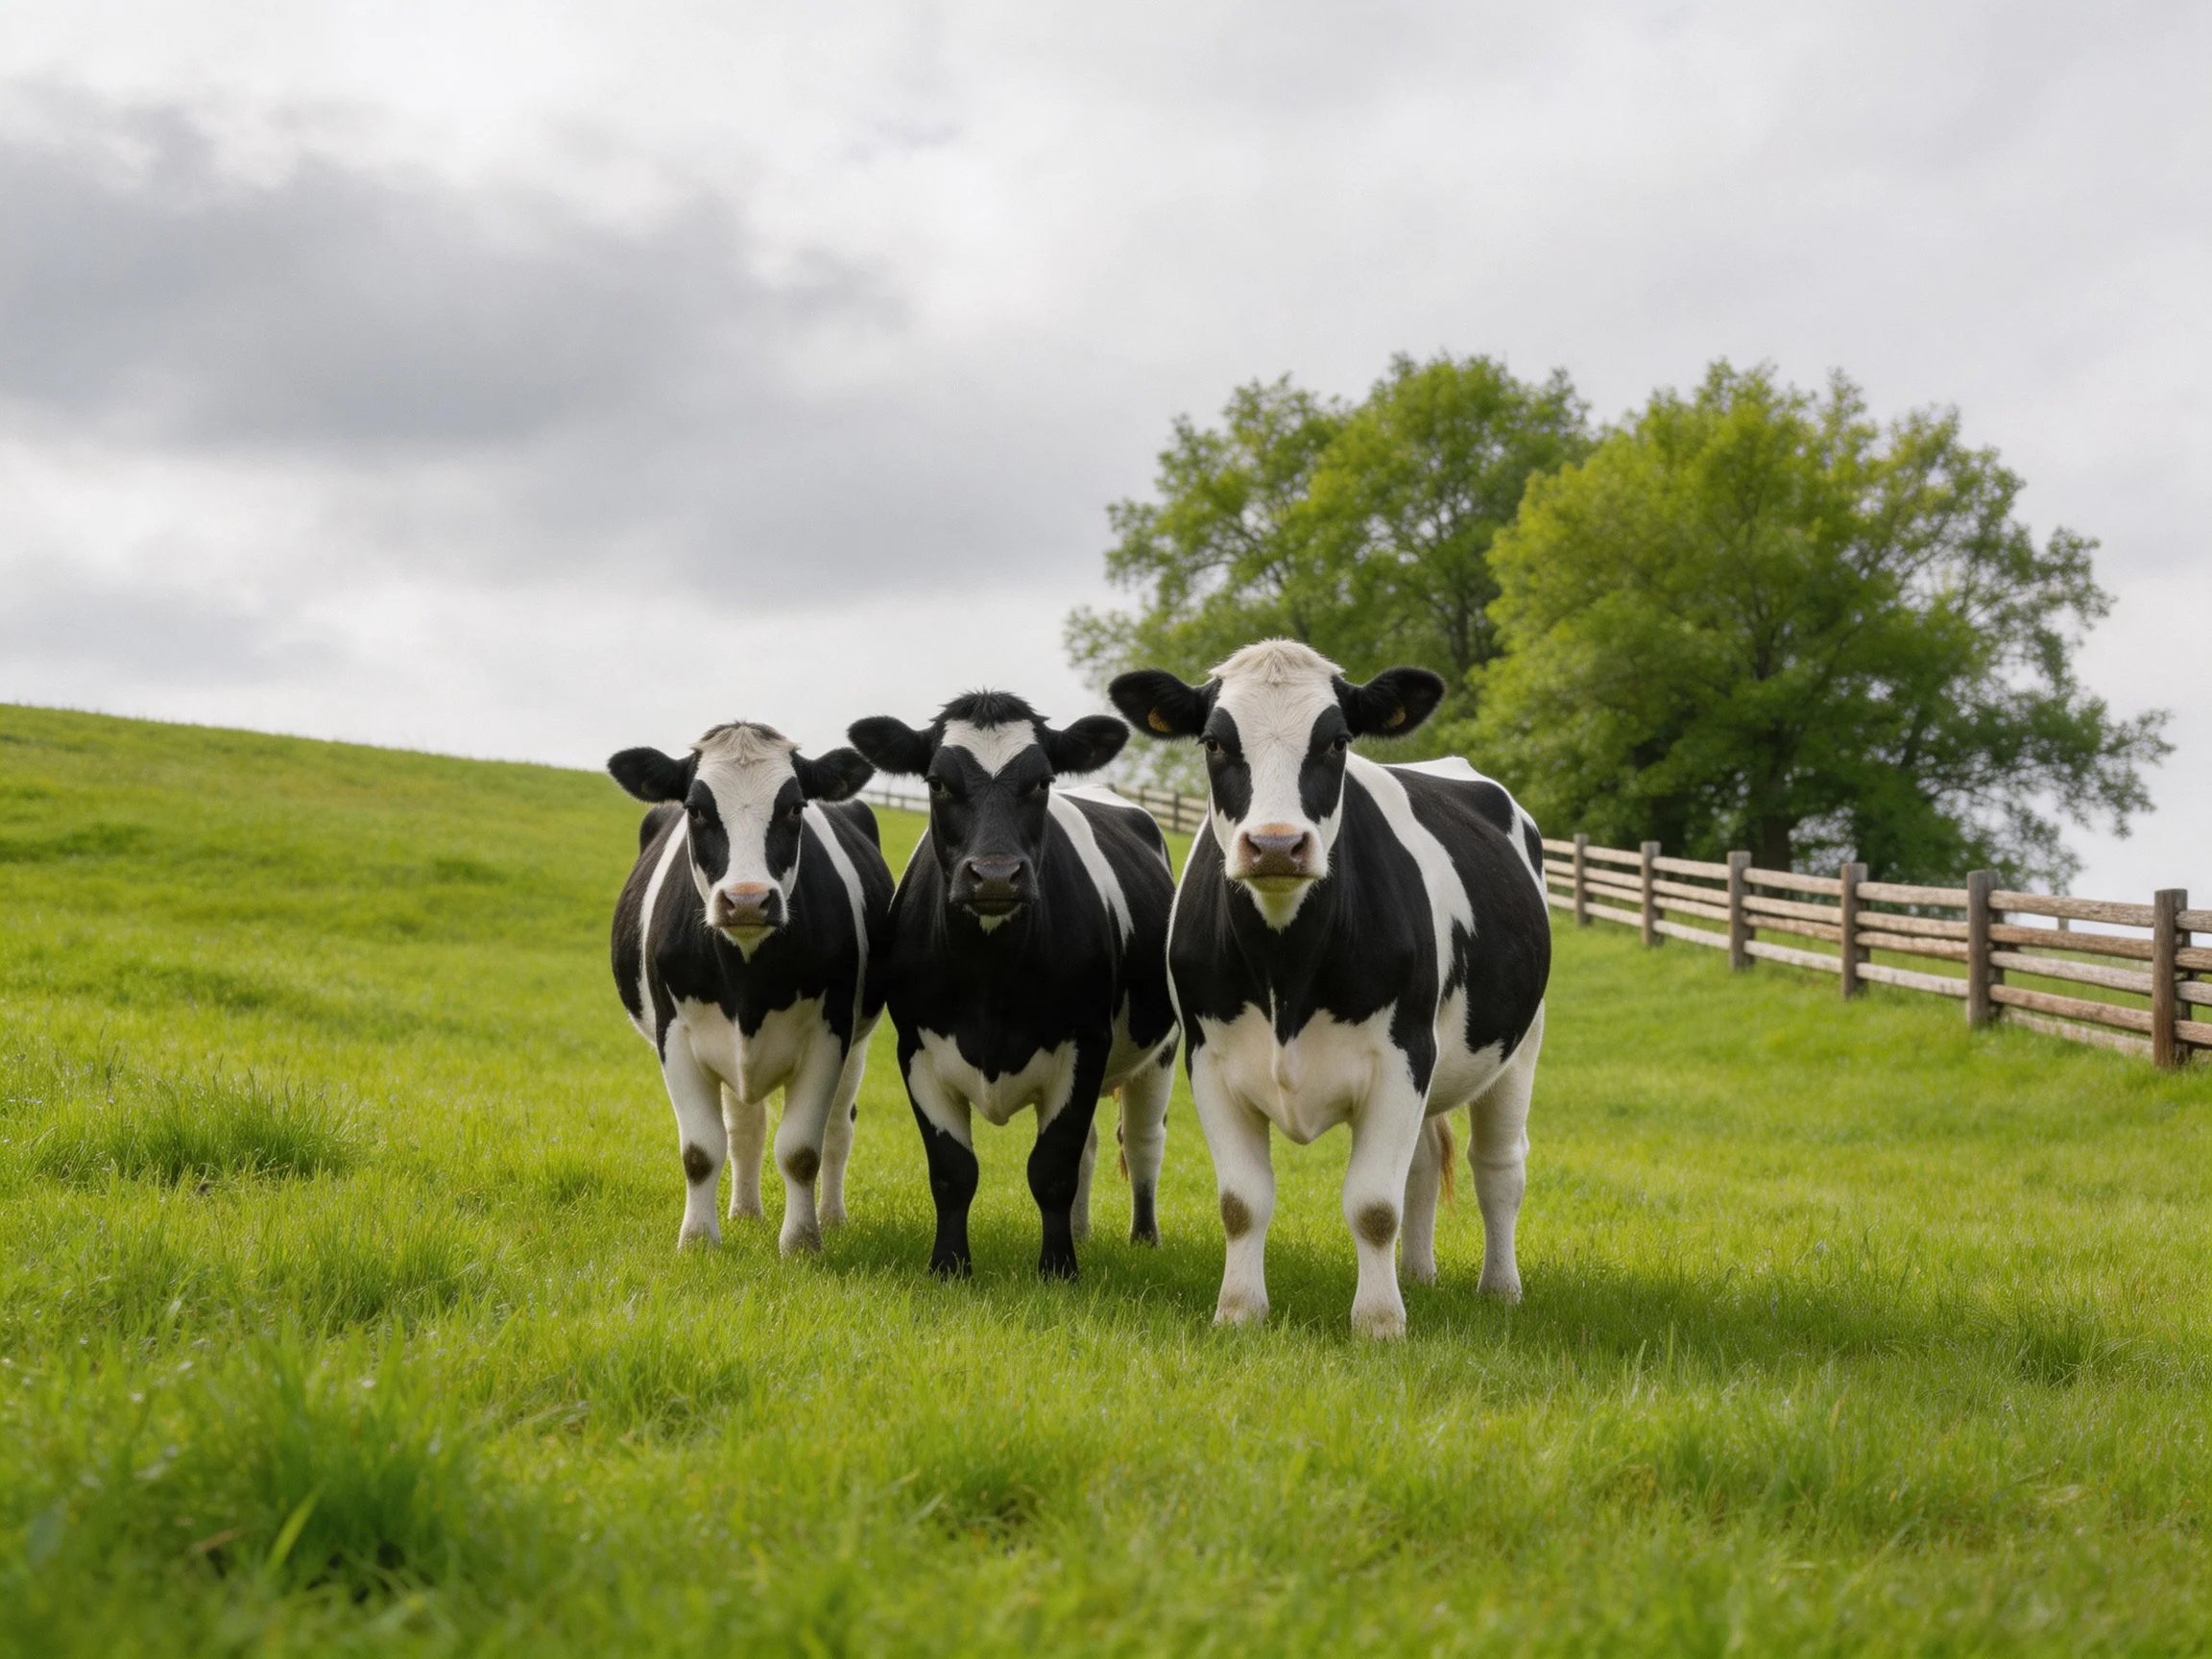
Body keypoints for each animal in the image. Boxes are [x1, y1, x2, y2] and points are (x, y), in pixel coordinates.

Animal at [607, 721, 893, 1256]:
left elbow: (802, 1150)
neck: (747, 980)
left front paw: (802, 1243)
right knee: (744, 1130)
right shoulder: (674, 1037)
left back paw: (832, 1217)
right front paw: (699, 1241)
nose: (745, 901)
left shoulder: (830, 1034)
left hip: (858, 1045)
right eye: (696, 809)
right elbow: (701, 1150)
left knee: (838, 1129)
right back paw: (744, 1212)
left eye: (795, 807)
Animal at [846, 691, 1179, 1281]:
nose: (996, 875)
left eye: (1041, 782)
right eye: (937, 782)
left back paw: (1144, 1237)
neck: (991, 979)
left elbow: (1052, 1167)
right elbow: (953, 1170)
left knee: (1141, 1142)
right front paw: (949, 1267)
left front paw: (1058, 1271)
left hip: (1160, 1051)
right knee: (1094, 1145)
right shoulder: (916, 1050)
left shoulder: (1085, 1044)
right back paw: (1082, 1231)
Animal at [1110, 640, 1550, 1338]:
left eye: (1338, 740)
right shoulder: (1210, 1059)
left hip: (1519, 1043)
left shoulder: (1402, 1056)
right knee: (1424, 1164)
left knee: (1499, 1166)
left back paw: (1500, 1288)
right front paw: (1239, 1312)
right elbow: (1241, 1202)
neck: (1285, 969)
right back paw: (1417, 1275)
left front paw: (1379, 1323)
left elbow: (1372, 1205)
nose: (1275, 845)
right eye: (1213, 741)